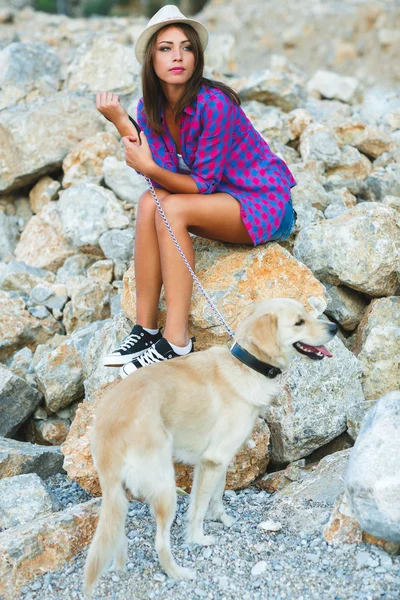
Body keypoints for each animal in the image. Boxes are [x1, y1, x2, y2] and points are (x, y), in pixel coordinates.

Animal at [84, 298, 338, 592]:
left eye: (308, 314)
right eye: (299, 322)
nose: (334, 327)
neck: (247, 365)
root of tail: (109, 423)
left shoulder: (218, 460)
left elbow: (216, 494)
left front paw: (222, 519)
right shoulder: (213, 460)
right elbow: (199, 507)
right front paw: (198, 537)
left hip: (121, 494)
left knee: (118, 534)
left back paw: (121, 564)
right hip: (164, 488)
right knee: (160, 543)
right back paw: (178, 573)